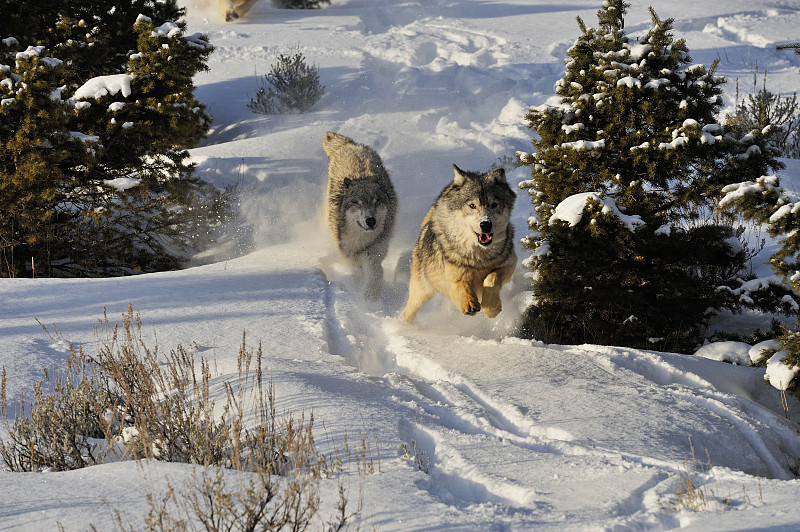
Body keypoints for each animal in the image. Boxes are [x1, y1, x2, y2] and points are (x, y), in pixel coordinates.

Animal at [322, 131, 396, 302]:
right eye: (357, 203)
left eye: (376, 201)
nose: (371, 220)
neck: (360, 240)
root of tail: (349, 145)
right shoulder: (348, 257)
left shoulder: (373, 252)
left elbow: (375, 274)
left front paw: (370, 299)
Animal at [400, 164, 520, 322]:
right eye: (472, 205)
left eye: (494, 205)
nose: (485, 224)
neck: (479, 258)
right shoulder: (453, 281)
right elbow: (463, 284)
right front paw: (469, 304)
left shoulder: (509, 265)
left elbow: (491, 279)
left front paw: (491, 308)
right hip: (421, 293)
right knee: (408, 311)